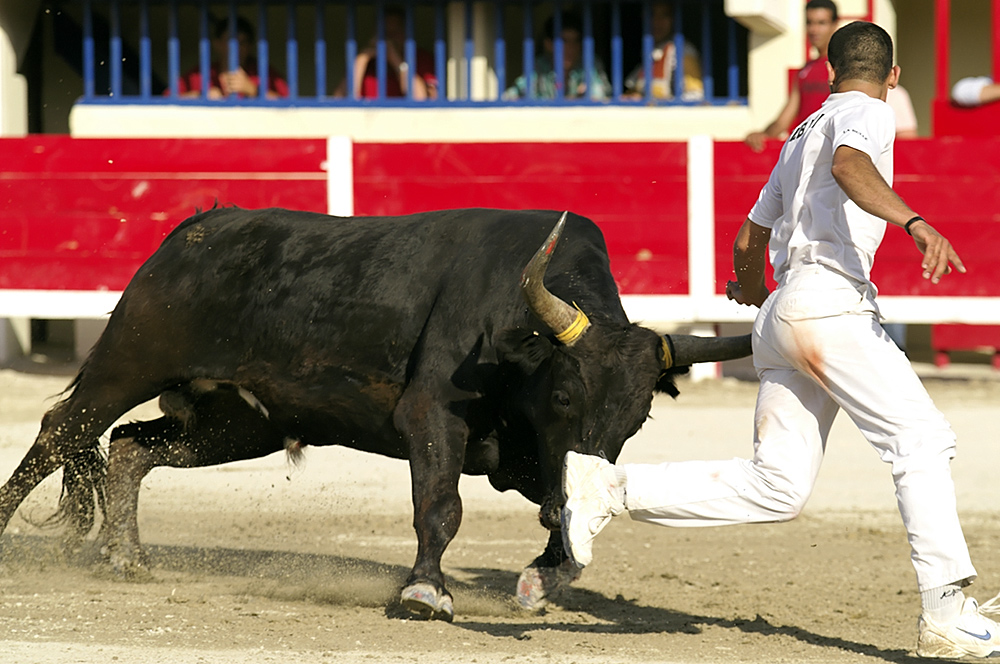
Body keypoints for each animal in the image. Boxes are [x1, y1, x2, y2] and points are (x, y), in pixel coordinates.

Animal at [0, 205, 752, 620]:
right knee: (58, 434)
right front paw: (424, 592)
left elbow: (567, 518)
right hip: (128, 362)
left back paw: (126, 558)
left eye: (638, 419)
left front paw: (540, 579)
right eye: (565, 396)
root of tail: (198, 228)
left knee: (131, 447)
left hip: (239, 422)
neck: (515, 338)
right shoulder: (433, 416)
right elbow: (440, 507)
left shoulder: (532, 463)